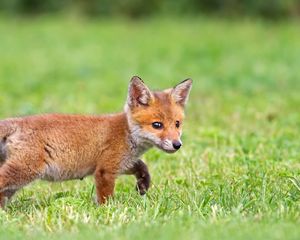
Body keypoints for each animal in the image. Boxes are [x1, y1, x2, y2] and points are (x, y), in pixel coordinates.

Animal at [0, 76, 192, 207]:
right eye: (157, 125)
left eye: (177, 124)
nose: (177, 144)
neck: (126, 133)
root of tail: (17, 121)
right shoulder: (105, 170)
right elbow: (105, 198)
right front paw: (107, 211)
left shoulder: (120, 163)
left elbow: (142, 166)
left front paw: (143, 185)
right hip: (25, 170)